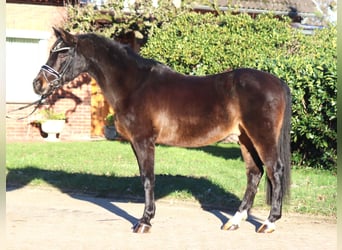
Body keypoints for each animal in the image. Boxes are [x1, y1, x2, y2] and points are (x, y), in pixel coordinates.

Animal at [32, 28, 292, 233]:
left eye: (62, 52)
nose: (37, 84)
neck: (134, 85)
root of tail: (277, 82)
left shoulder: (144, 141)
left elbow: (148, 179)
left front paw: (144, 221)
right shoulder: (136, 143)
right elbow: (144, 178)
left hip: (262, 137)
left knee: (275, 171)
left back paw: (269, 222)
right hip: (245, 139)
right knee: (254, 174)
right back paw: (235, 221)